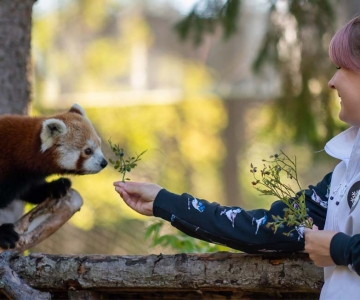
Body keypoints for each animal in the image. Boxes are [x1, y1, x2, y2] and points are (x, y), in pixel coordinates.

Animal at [0, 104, 107, 250]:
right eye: (88, 151)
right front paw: (2, 233)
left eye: (99, 145)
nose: (104, 163)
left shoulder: (24, 178)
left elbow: (28, 190)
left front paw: (57, 186)